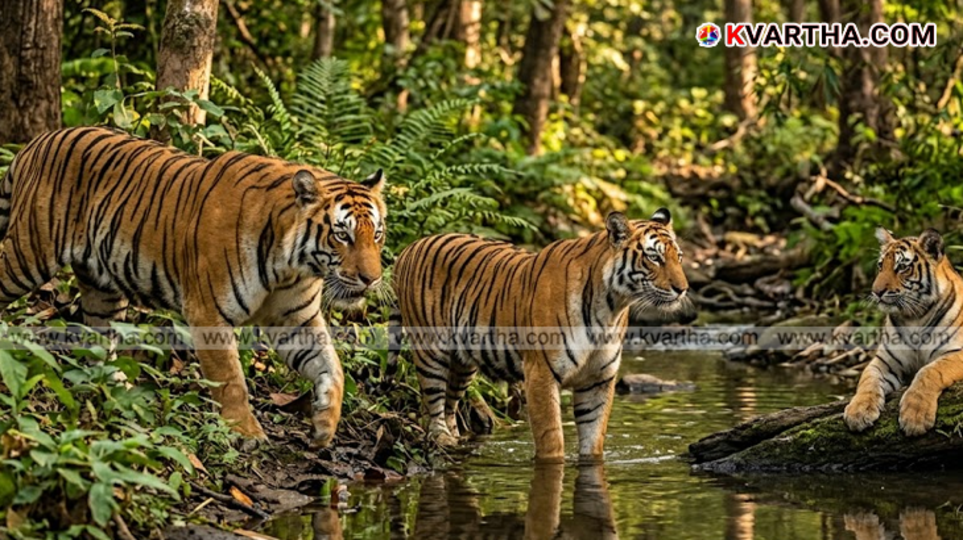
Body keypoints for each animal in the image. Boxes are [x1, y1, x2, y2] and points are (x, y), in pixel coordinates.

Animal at [0, 126, 387, 448]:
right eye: (342, 235)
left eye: (377, 234)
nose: (372, 278)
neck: (292, 266)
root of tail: (37, 141)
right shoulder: (208, 313)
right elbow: (231, 379)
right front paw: (246, 434)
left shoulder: (296, 320)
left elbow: (332, 367)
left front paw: (325, 424)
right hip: (28, 255)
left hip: (102, 289)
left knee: (97, 345)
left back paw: (121, 392)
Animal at [392, 209, 693, 462]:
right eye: (654, 257)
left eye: (678, 257)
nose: (683, 289)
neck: (611, 306)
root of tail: (410, 247)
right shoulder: (541, 373)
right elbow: (551, 439)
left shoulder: (598, 379)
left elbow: (594, 438)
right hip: (431, 350)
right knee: (431, 402)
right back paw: (441, 439)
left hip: (464, 363)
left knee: (450, 403)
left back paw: (456, 440)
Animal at [843, 227, 963, 436]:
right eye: (880, 266)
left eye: (902, 267)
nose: (876, 292)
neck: (915, 317)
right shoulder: (884, 361)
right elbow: (867, 380)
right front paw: (858, 411)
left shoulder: (957, 353)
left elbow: (930, 371)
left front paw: (915, 417)